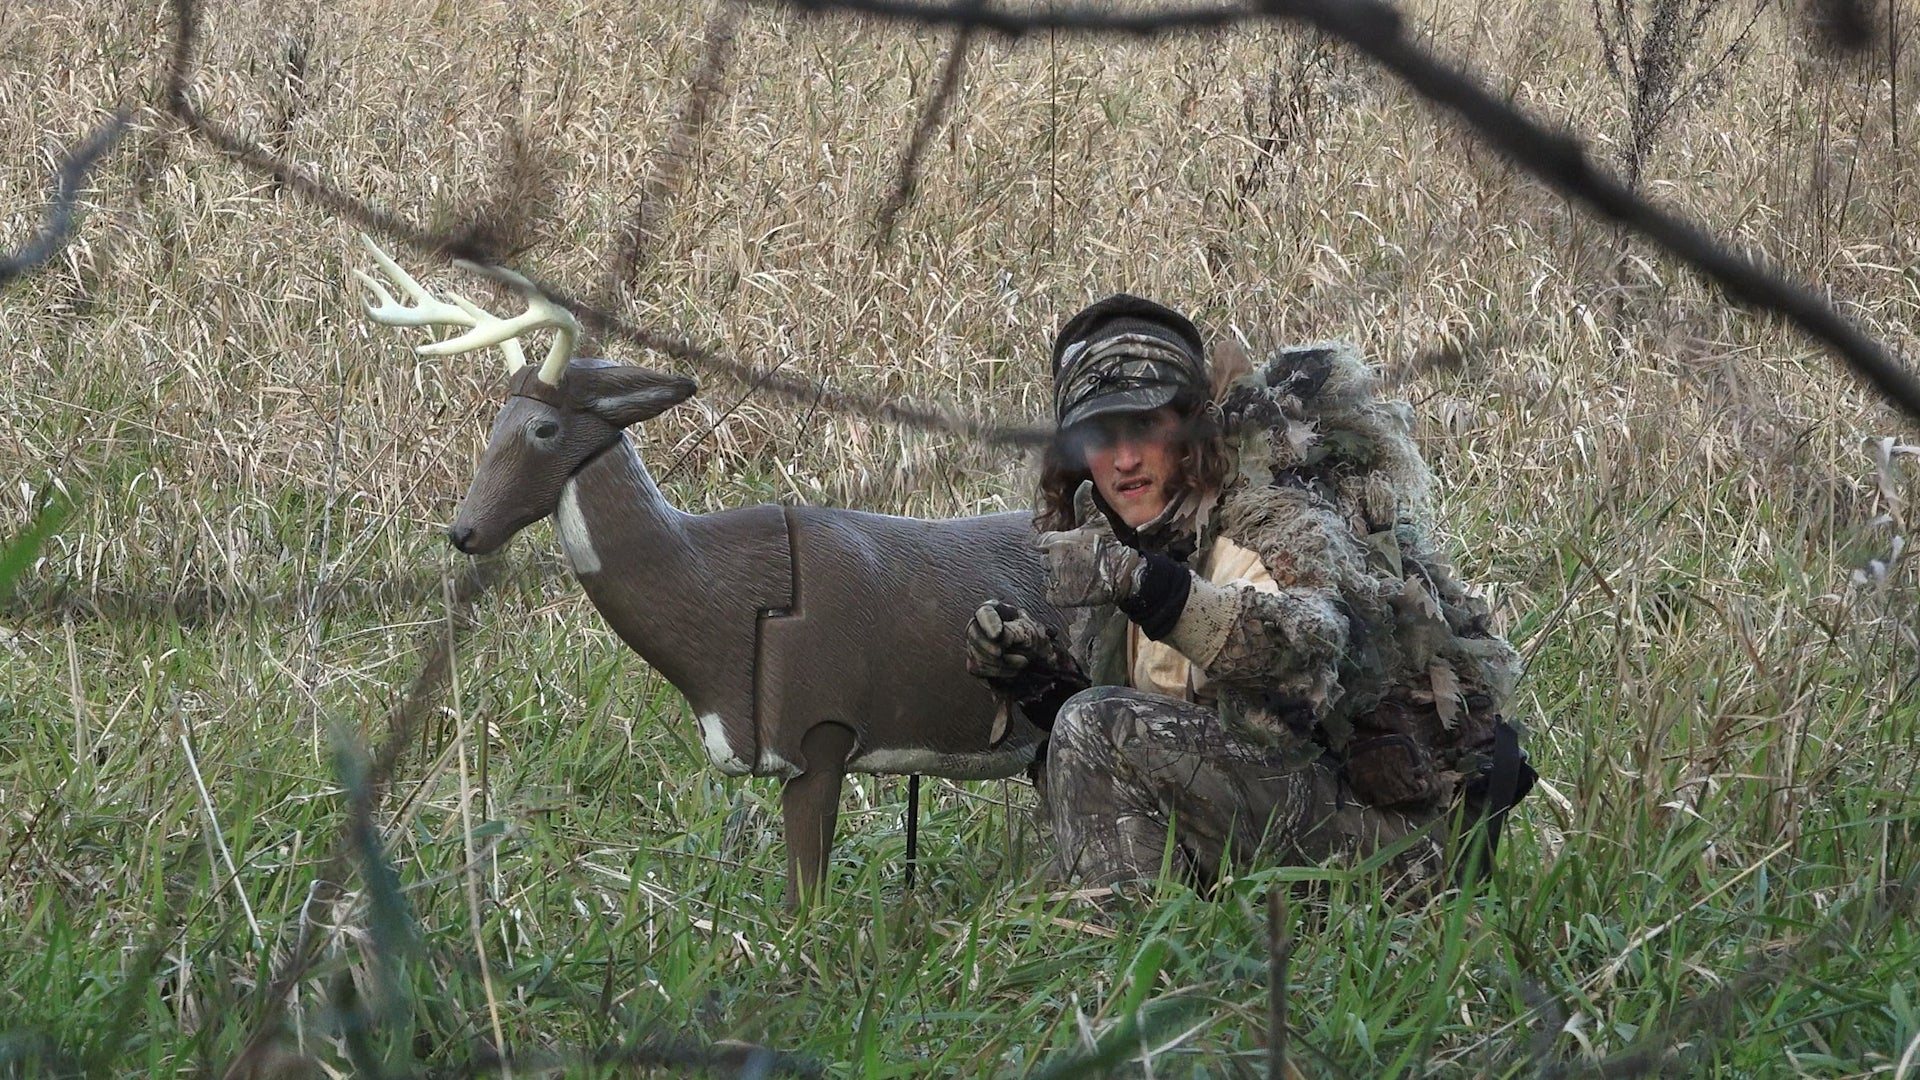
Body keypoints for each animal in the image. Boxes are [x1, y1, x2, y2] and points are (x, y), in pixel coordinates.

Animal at [351, 236, 1065, 908]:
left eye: (544, 429)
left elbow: (804, 906)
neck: (728, 601)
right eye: (495, 420)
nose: (463, 532)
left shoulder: (820, 726)